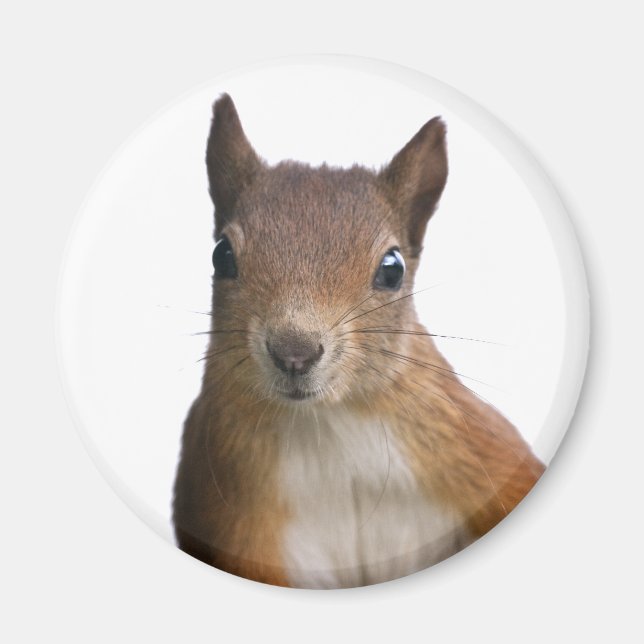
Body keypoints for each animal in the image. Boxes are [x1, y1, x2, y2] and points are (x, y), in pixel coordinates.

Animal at [172, 94, 545, 589]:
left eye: (393, 268)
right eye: (221, 255)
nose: (295, 353)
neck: (326, 424)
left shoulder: (489, 455)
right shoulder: (237, 530)